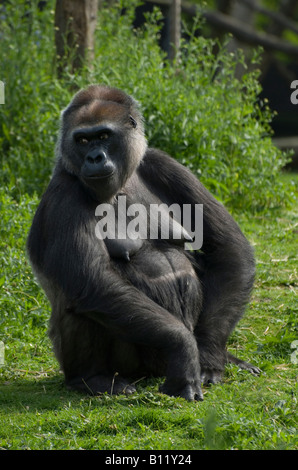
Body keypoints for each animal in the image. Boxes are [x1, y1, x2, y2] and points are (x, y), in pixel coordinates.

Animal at [26, 85, 260, 400]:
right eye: (82, 140)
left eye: (104, 136)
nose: (94, 158)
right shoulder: (63, 193)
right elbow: (93, 281)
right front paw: (183, 350)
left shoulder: (164, 163)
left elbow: (227, 248)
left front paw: (210, 357)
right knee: (82, 295)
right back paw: (92, 378)